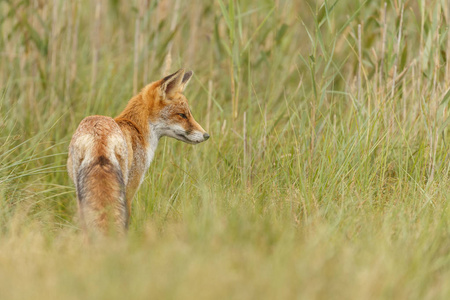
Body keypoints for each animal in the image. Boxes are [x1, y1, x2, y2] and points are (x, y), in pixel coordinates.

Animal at [66, 68, 209, 234]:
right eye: (182, 115)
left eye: (188, 114)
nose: (206, 135)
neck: (137, 129)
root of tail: (98, 133)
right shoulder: (131, 187)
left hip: (81, 192)